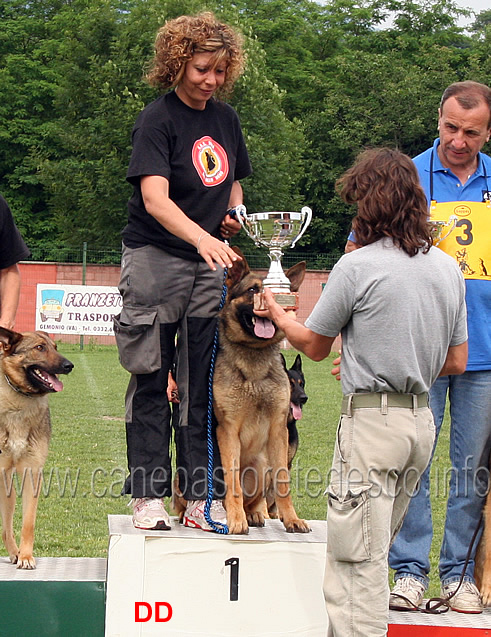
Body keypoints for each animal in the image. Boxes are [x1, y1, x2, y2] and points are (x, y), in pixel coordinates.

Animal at [0, 328, 74, 568]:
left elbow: (28, 523)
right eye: (39, 348)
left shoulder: (32, 473)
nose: (69, 365)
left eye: (55, 347)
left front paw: (25, 556)